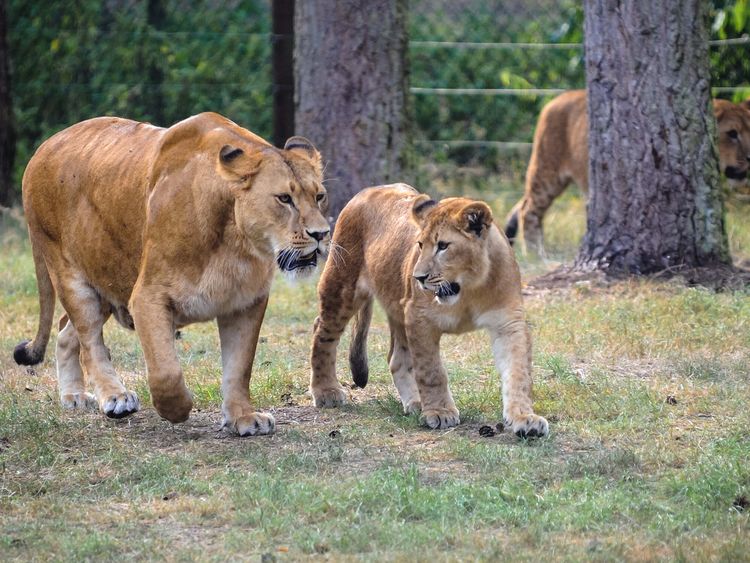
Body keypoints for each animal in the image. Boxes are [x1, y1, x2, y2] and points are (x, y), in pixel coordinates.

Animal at [14, 112, 329, 436]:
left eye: (319, 196)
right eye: (284, 199)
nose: (321, 234)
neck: (235, 243)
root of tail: (43, 147)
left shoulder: (246, 303)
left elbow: (239, 367)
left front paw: (243, 417)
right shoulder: (147, 297)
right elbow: (165, 371)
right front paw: (177, 409)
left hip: (106, 280)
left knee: (66, 330)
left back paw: (74, 396)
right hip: (71, 275)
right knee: (89, 341)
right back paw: (115, 397)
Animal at [309, 184, 548, 438]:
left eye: (443, 246)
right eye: (420, 245)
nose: (419, 278)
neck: (470, 288)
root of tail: (369, 190)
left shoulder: (509, 323)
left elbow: (518, 373)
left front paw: (525, 418)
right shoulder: (419, 317)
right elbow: (431, 371)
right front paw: (440, 412)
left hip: (397, 306)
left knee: (396, 358)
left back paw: (414, 403)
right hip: (342, 287)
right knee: (322, 332)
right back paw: (326, 392)